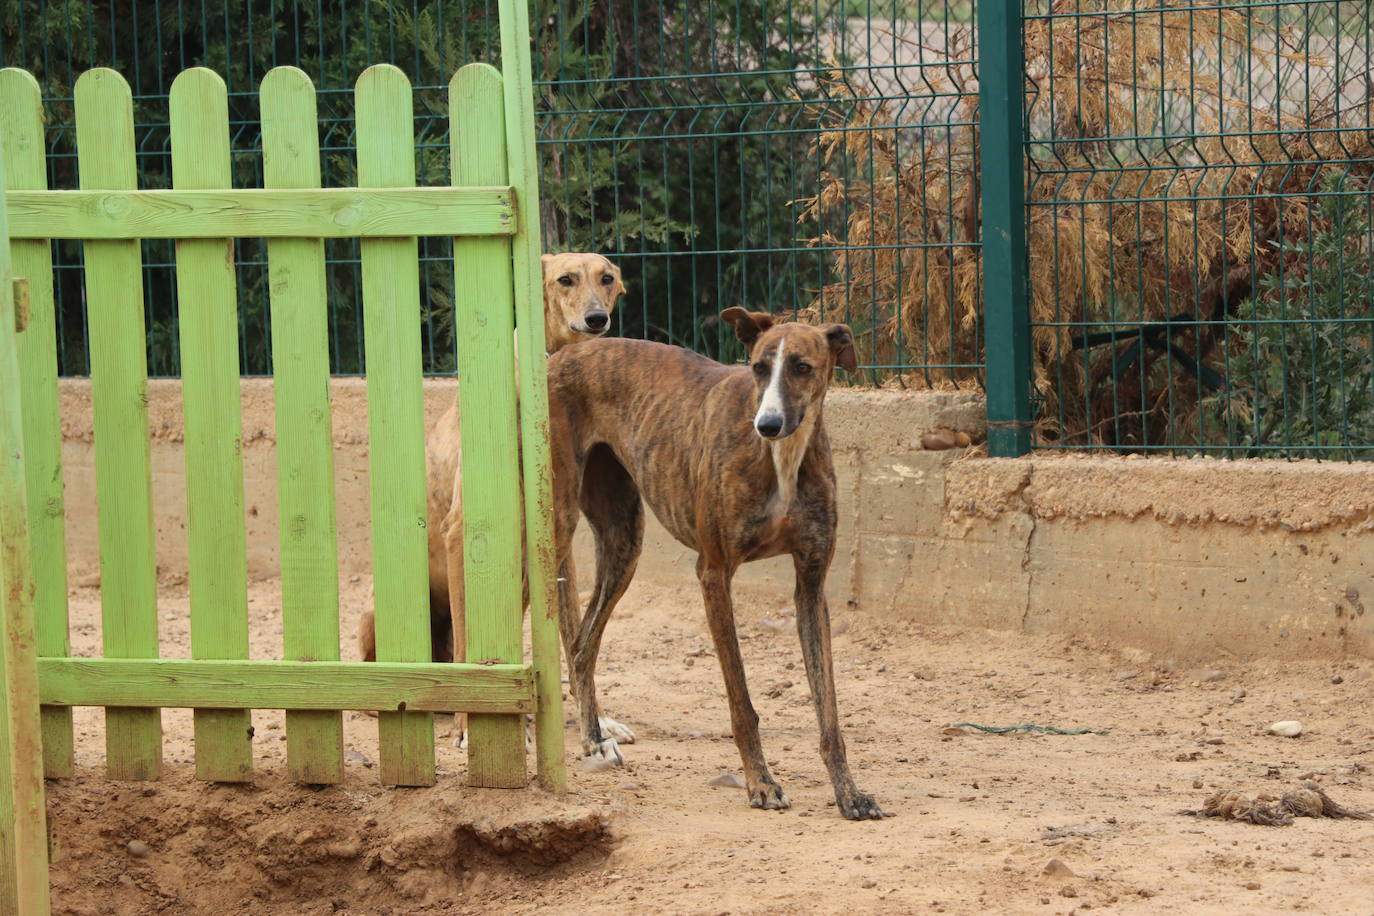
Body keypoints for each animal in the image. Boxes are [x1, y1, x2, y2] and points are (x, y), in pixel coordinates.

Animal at [544, 310, 879, 823]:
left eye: (802, 367)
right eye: (758, 367)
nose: (768, 424)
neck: (780, 459)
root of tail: (561, 356)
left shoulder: (810, 585)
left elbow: (829, 710)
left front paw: (849, 793)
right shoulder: (714, 572)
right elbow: (741, 701)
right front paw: (761, 784)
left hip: (624, 541)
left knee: (582, 646)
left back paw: (595, 740)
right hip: (555, 525)